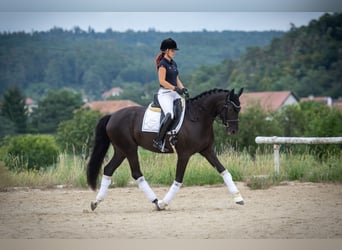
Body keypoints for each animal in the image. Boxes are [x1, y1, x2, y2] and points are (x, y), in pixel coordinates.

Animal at [87, 88, 244, 211]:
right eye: (231, 108)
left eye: (239, 109)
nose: (233, 131)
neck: (198, 117)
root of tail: (112, 116)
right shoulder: (184, 154)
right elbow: (178, 180)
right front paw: (164, 203)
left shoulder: (207, 151)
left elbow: (224, 171)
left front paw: (238, 198)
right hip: (130, 148)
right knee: (136, 173)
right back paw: (157, 202)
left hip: (121, 150)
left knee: (108, 169)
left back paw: (96, 202)